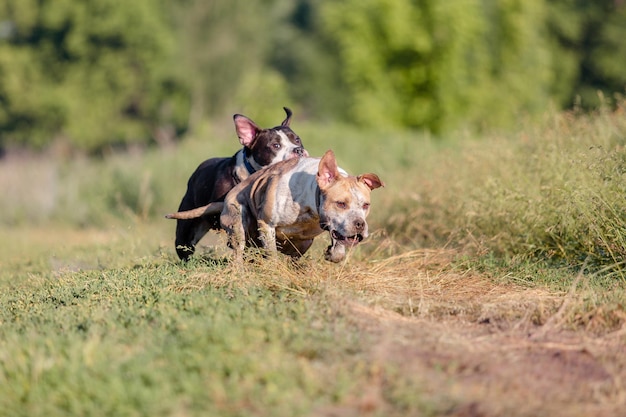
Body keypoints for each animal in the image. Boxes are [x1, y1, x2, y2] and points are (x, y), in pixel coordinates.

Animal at [165, 149, 380, 260]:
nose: (360, 224)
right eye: (341, 203)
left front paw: (333, 252)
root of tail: (224, 201)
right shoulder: (267, 225)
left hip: (303, 242)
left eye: (366, 205)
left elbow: (338, 247)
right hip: (237, 223)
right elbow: (272, 255)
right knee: (239, 253)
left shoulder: (332, 228)